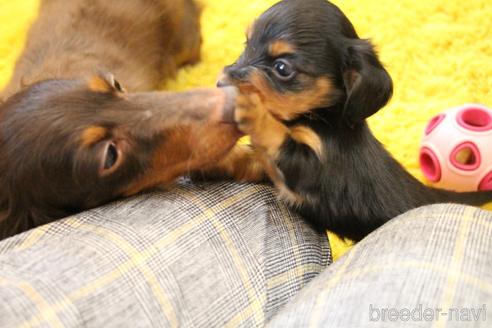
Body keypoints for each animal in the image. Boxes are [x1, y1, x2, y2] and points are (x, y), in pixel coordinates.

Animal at [218, 0, 492, 241]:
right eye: (247, 44)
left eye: (282, 68)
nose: (220, 83)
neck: (320, 116)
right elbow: (254, 156)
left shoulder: (315, 167)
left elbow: (276, 138)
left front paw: (249, 107)